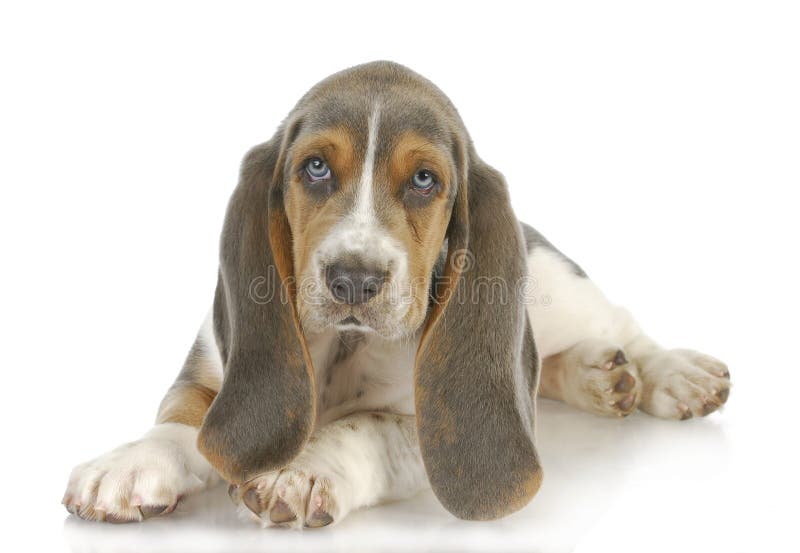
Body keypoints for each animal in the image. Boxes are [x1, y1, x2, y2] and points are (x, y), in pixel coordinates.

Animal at [62, 59, 732, 528]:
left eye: (424, 179)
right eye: (314, 168)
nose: (354, 279)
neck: (343, 346)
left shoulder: (422, 429)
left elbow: (368, 428)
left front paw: (301, 470)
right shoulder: (208, 368)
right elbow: (183, 420)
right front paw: (132, 463)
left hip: (561, 291)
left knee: (622, 325)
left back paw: (671, 374)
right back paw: (601, 376)